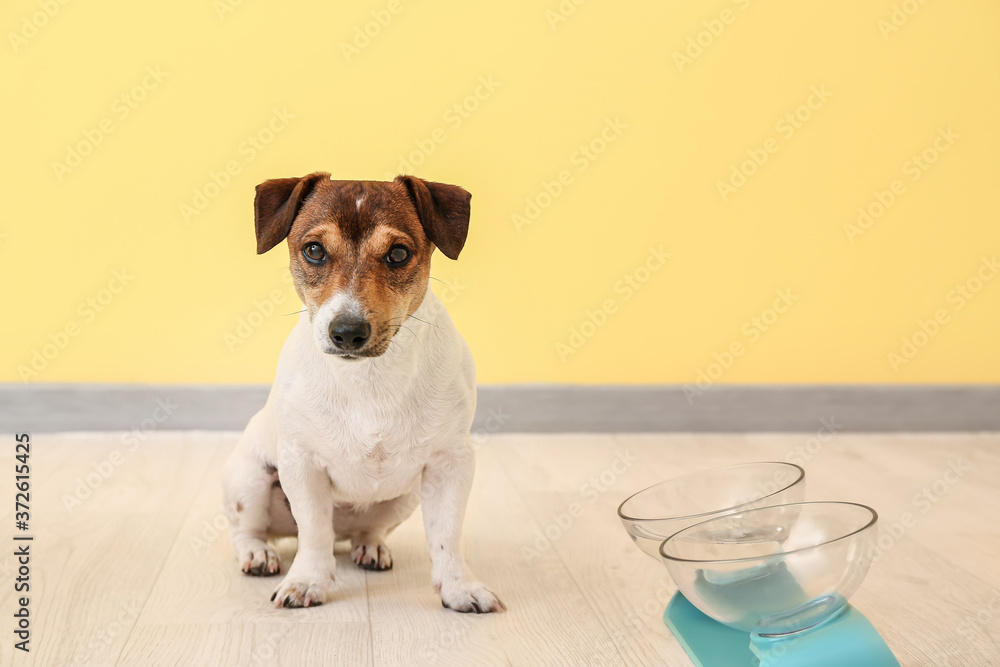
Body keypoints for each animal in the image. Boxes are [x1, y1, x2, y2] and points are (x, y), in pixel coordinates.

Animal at [226, 175, 504, 612]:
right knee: (249, 531)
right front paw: (306, 581)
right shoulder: (301, 464)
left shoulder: (451, 462)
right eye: (314, 250)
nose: (347, 332)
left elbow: (446, 535)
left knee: (367, 531)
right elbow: (313, 533)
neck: (369, 377)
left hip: (404, 497)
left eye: (398, 254)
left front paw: (460, 587)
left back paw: (370, 547)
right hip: (250, 481)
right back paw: (257, 554)